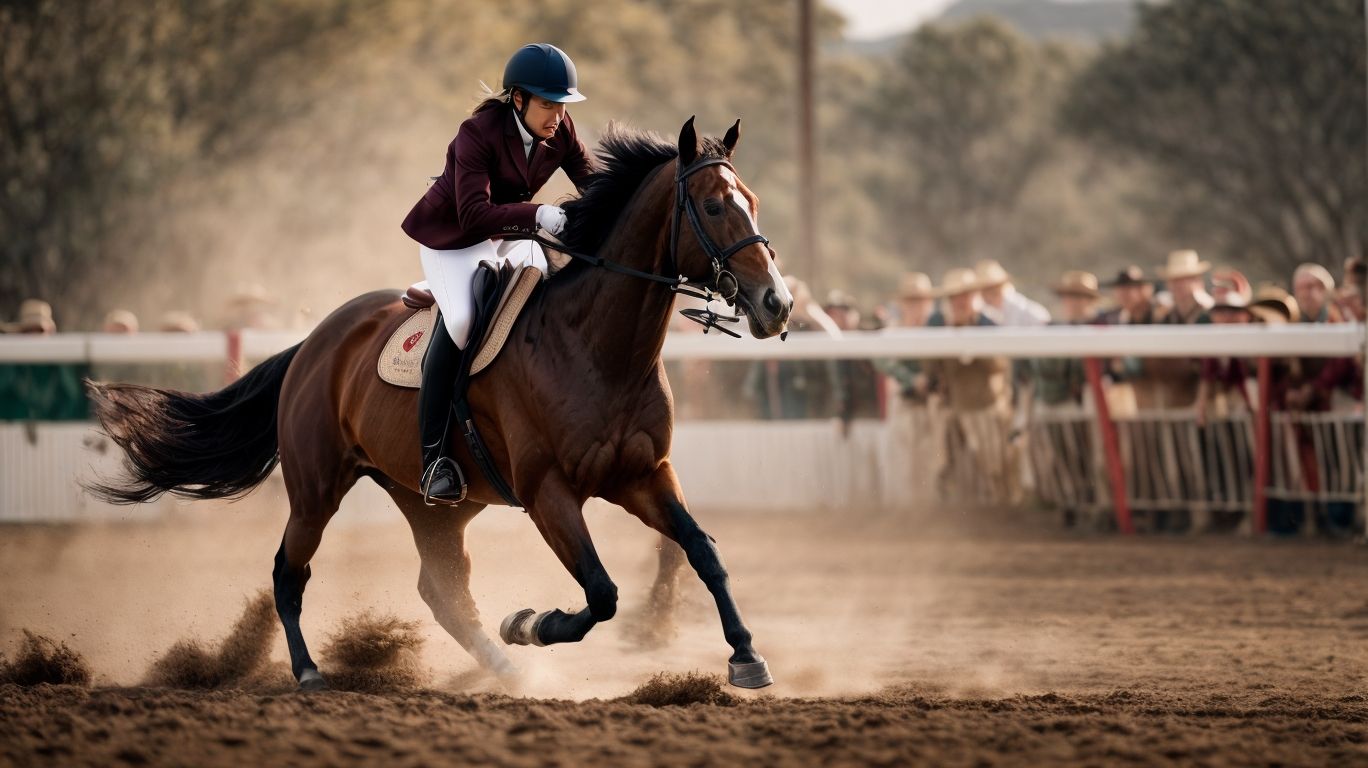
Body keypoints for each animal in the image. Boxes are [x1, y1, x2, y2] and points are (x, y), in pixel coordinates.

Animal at [87, 117, 794, 691]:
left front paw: (746, 657)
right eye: (713, 206)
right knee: (290, 573)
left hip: (433, 505)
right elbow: (600, 592)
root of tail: (313, 343)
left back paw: (507, 673)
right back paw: (312, 672)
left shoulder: (643, 475)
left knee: (443, 590)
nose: (777, 304)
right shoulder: (548, 492)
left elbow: (703, 553)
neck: (598, 349)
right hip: (316, 489)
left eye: (754, 202)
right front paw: (529, 624)